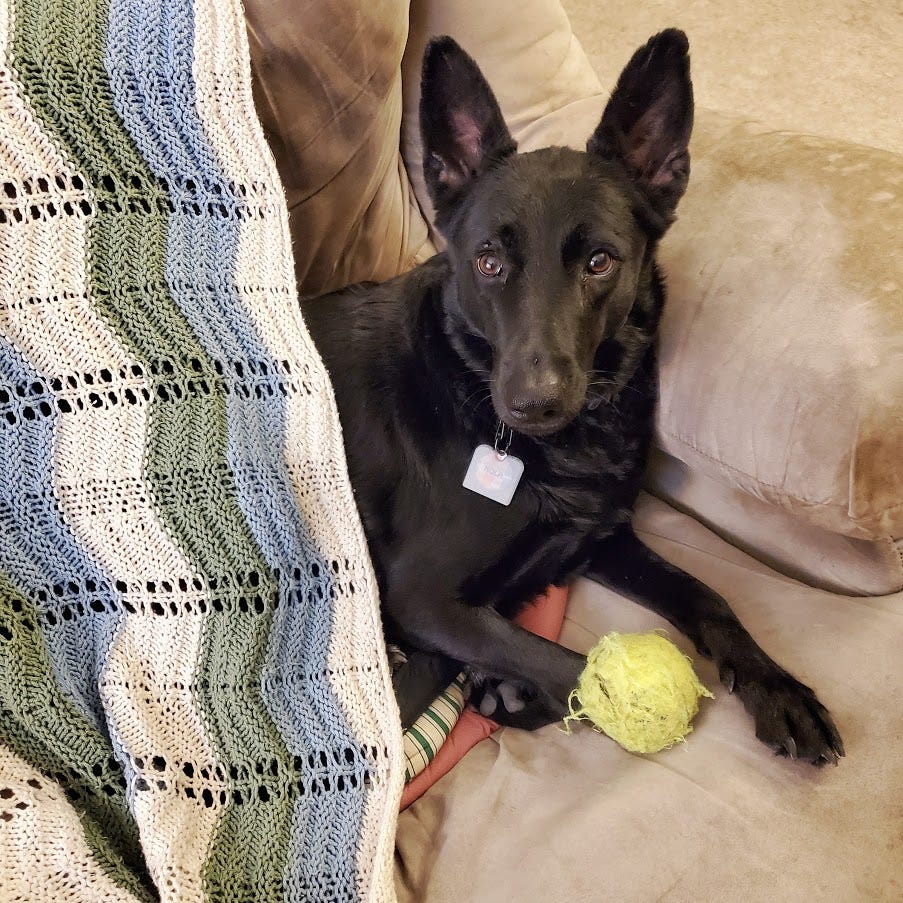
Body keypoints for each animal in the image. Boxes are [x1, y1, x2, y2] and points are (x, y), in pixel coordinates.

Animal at [304, 30, 848, 764]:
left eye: (599, 262)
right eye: (487, 262)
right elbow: (572, 664)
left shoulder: (603, 534)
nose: (533, 403)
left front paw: (778, 688)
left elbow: (707, 594)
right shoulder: (425, 599)